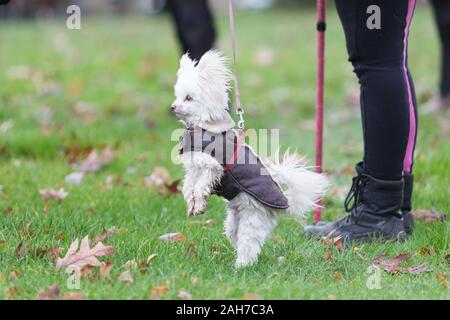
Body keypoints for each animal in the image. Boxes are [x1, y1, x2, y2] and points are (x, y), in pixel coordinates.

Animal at [171, 50, 326, 268]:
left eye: (188, 98)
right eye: (177, 95)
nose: (173, 107)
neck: (203, 125)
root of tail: (286, 203)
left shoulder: (212, 166)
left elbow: (200, 186)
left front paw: (199, 202)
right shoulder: (195, 166)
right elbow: (188, 186)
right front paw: (193, 205)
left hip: (253, 219)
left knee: (249, 245)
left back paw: (240, 266)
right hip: (234, 221)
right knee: (240, 240)